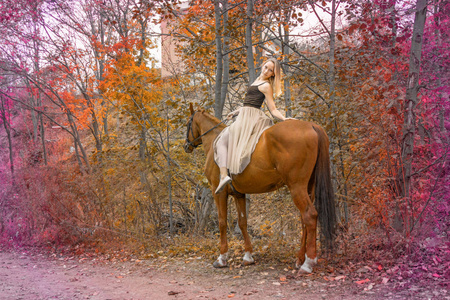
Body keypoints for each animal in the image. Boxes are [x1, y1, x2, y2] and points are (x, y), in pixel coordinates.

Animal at [183, 103, 334, 274]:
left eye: (188, 123)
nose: (186, 145)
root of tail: (311, 126)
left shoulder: (219, 193)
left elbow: (222, 222)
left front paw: (222, 258)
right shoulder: (239, 194)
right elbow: (242, 222)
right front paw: (248, 256)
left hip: (297, 187)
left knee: (309, 215)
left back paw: (308, 263)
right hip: (309, 187)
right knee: (304, 219)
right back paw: (300, 258)